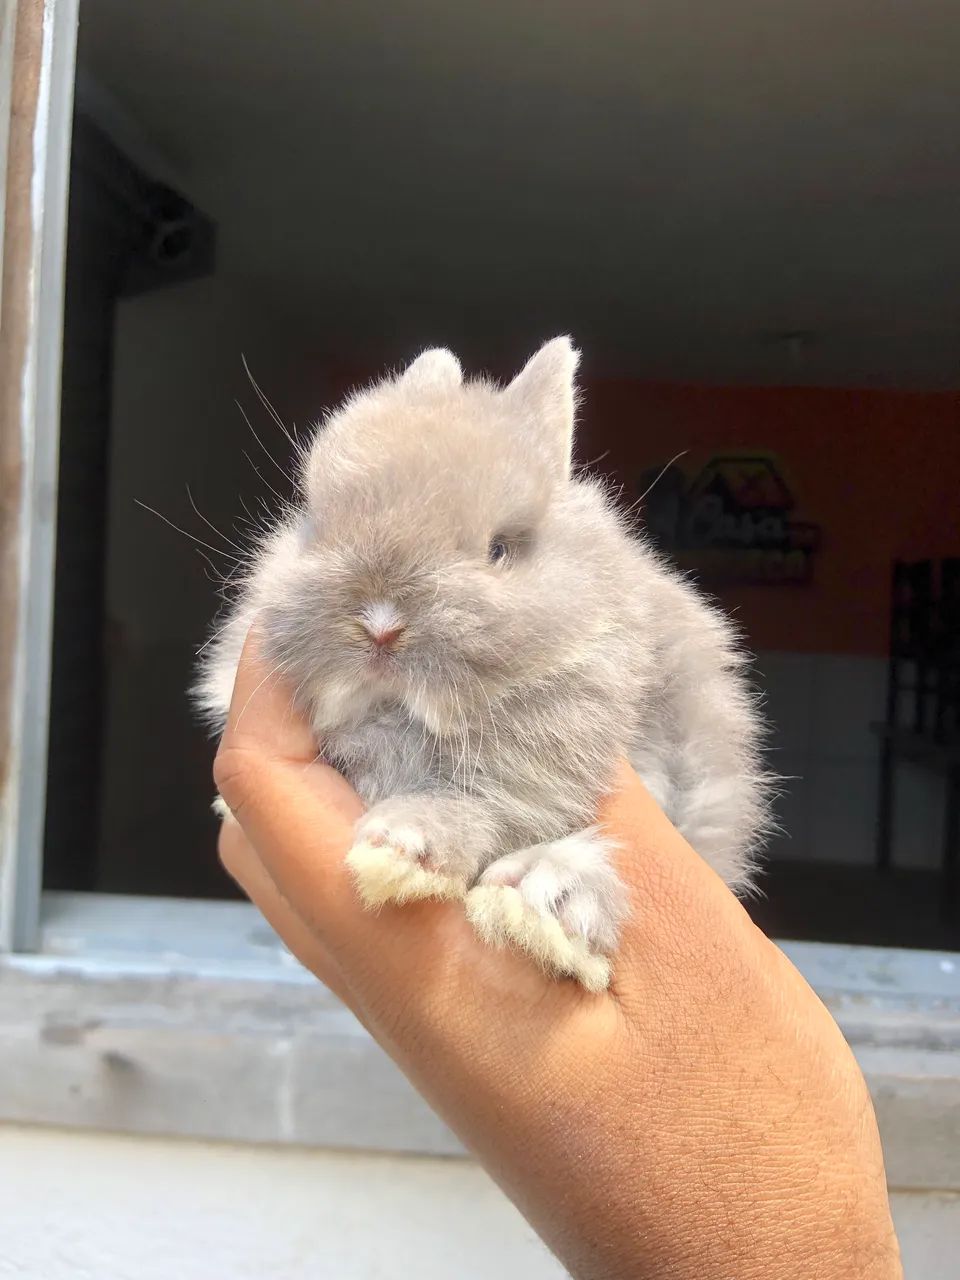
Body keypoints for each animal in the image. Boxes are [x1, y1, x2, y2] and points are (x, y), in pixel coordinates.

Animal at [197, 338, 771, 991]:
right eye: (315, 525)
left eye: (500, 549)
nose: (380, 624)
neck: (402, 718)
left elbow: (483, 804)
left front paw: (403, 845)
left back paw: (546, 904)